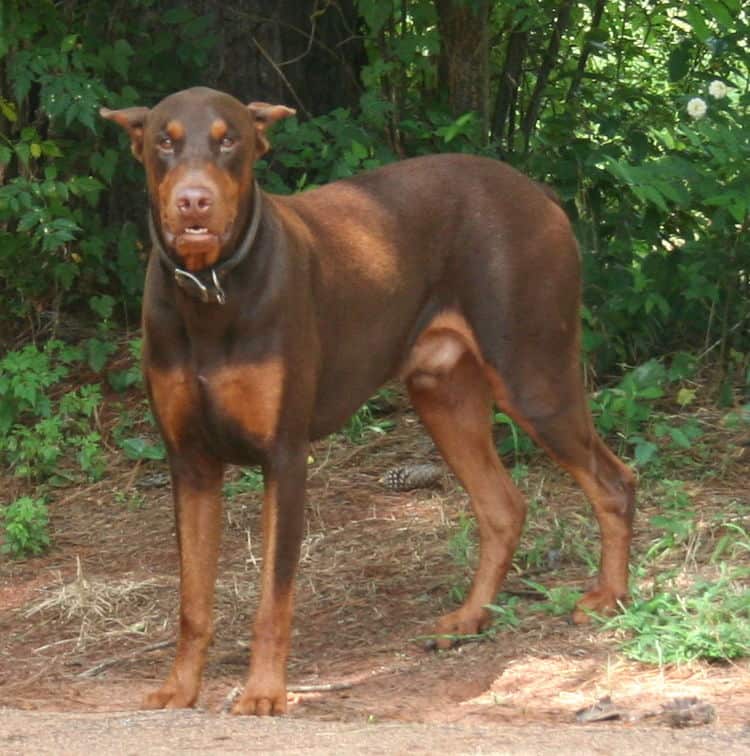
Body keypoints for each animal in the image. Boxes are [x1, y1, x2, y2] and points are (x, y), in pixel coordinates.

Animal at [103, 87, 636, 716]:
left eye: (228, 139)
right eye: (164, 141)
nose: (194, 203)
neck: (212, 295)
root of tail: (542, 195)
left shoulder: (285, 457)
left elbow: (273, 600)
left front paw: (263, 692)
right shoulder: (190, 461)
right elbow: (192, 602)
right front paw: (180, 689)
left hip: (534, 379)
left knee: (614, 482)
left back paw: (609, 597)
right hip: (443, 397)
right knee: (504, 508)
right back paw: (469, 619)